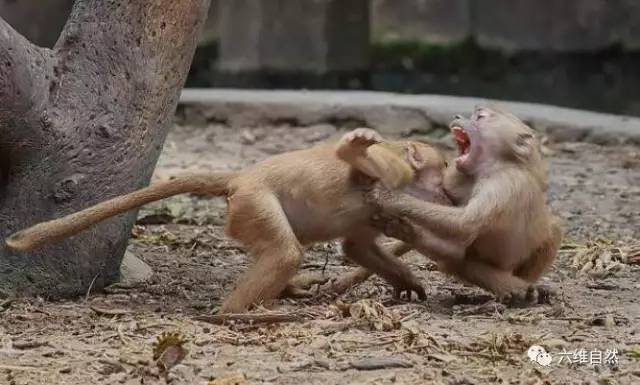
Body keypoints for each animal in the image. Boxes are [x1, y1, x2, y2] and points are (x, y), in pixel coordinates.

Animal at [7, 128, 452, 312]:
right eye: (445, 165)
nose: (450, 187)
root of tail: (241, 178)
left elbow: (357, 246)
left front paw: (408, 283)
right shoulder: (392, 170)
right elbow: (356, 160)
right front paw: (354, 147)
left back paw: (286, 291)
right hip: (253, 202)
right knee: (284, 252)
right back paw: (236, 313)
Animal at [362, 106, 564, 304]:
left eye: (480, 117)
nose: (457, 116)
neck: (492, 166)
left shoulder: (502, 183)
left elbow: (465, 224)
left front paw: (390, 197)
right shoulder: (456, 176)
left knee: (553, 228)